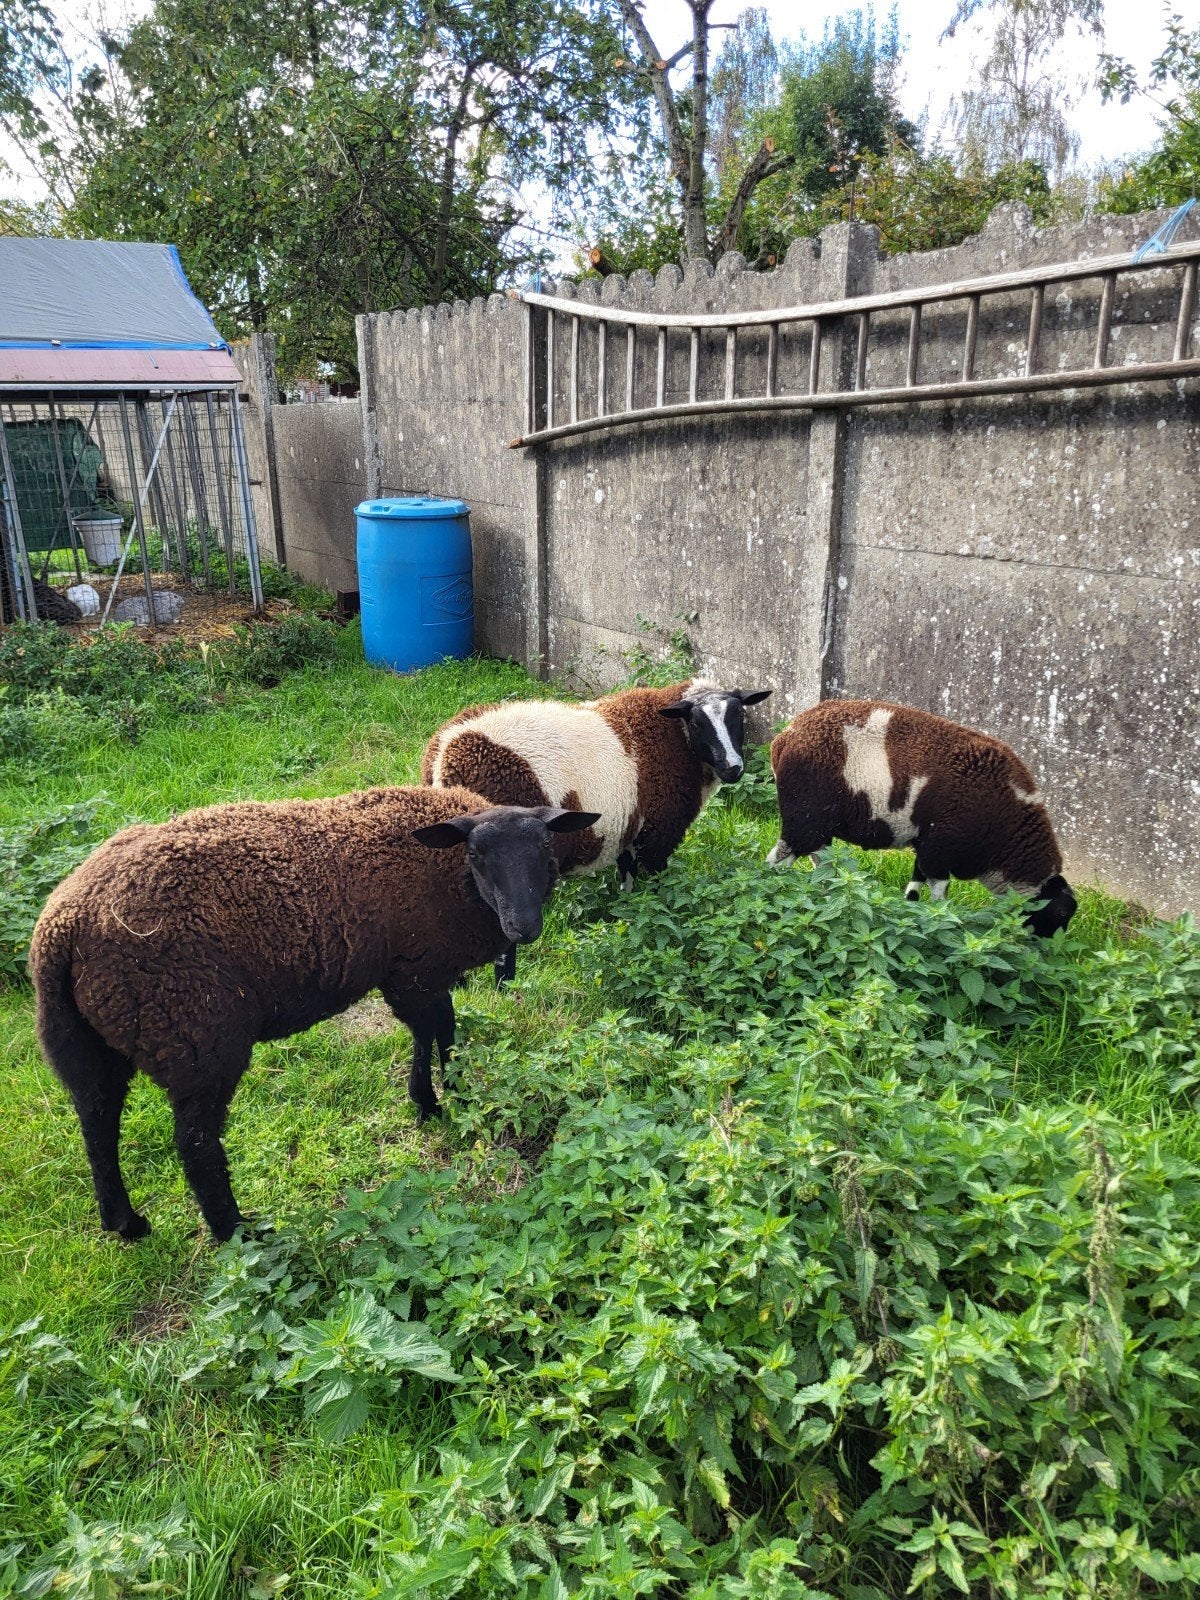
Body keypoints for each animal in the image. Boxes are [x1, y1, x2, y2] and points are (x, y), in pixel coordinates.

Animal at [29, 786, 598, 1242]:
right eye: (476, 853)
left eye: (543, 847)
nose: (523, 926)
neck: (446, 872)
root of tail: (64, 928)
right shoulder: (413, 969)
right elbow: (435, 1027)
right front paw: (439, 1099)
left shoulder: (417, 970)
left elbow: (438, 1027)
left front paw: (443, 1094)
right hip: (195, 1033)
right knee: (195, 1143)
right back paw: (238, 1233)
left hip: (83, 1041)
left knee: (97, 1125)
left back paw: (125, 1223)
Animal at [423, 679, 771, 982]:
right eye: (697, 724)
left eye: (739, 717)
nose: (733, 768)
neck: (674, 737)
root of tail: (447, 757)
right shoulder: (658, 835)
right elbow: (657, 896)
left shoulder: (628, 830)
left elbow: (629, 882)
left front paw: (628, 915)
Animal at [766, 699, 1077, 936]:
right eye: (1061, 914)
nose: (1044, 950)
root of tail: (786, 735)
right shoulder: (940, 850)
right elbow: (940, 893)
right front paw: (944, 922)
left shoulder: (926, 844)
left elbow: (916, 881)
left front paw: (911, 909)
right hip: (805, 814)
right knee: (778, 860)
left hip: (818, 823)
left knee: (819, 859)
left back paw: (824, 893)